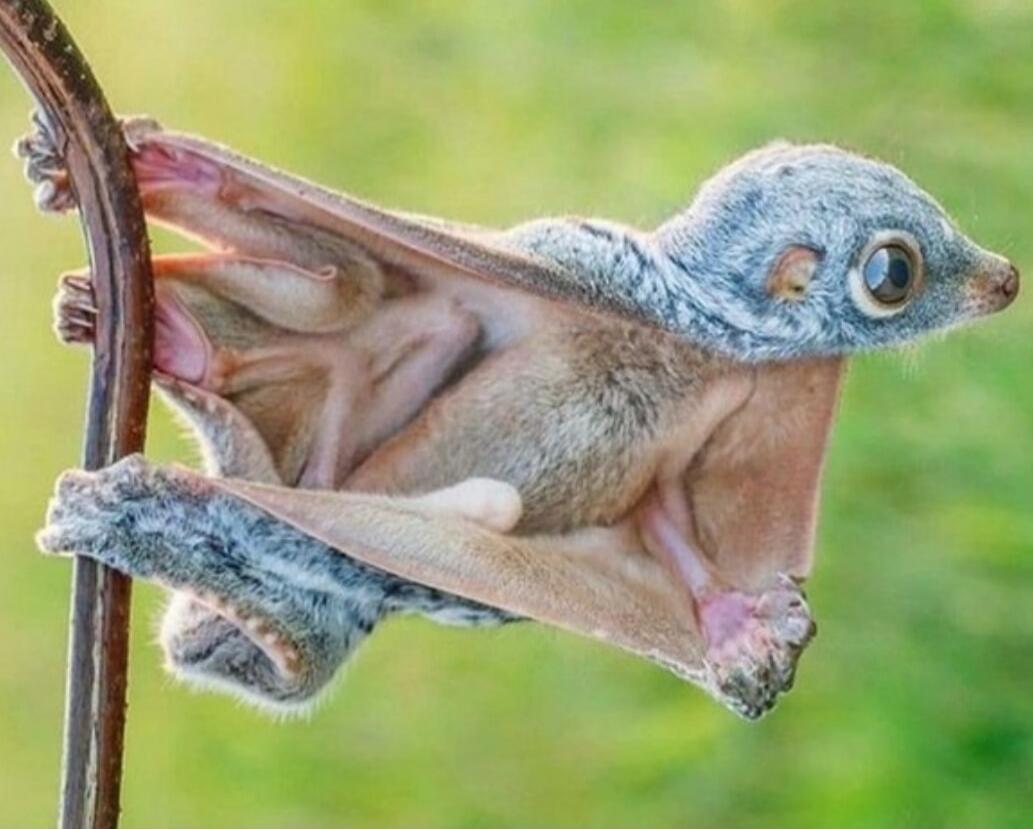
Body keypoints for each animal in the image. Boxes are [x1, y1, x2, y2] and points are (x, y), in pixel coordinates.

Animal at [23, 117, 1018, 718]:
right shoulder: (570, 260)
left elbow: (661, 510)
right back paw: (163, 400)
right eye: (893, 273)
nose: (1005, 278)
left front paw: (737, 622)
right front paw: (158, 166)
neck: (694, 330)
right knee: (346, 313)